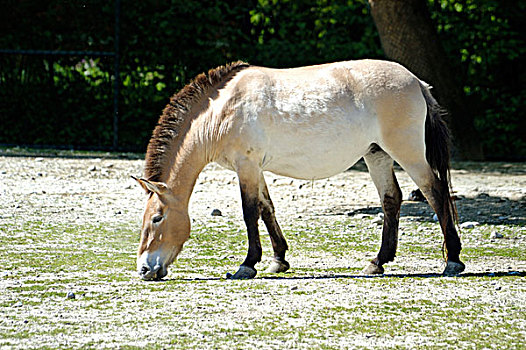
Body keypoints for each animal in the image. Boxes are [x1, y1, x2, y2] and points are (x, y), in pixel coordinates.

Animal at [133, 58, 466, 280]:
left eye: (157, 218)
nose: (145, 269)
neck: (221, 112)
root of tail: (416, 82)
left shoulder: (246, 165)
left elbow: (249, 212)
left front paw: (246, 265)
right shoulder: (256, 168)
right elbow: (267, 209)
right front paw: (278, 260)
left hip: (408, 153)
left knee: (435, 192)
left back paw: (452, 261)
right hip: (377, 155)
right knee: (392, 199)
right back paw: (378, 262)